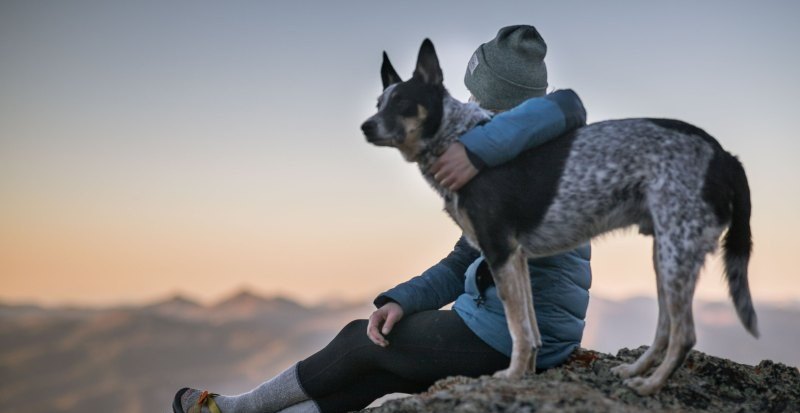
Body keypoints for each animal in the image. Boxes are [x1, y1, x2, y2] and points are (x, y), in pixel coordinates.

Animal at [360, 39, 760, 396]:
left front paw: (509, 378)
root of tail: (726, 156)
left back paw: (650, 386)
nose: (366, 126)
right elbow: (530, 330)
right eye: (379, 103)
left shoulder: (499, 251)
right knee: (665, 327)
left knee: (685, 334)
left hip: (677, 253)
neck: (455, 137)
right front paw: (525, 374)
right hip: (667, 255)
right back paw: (634, 370)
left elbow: (517, 328)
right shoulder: (516, 258)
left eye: (403, 102)